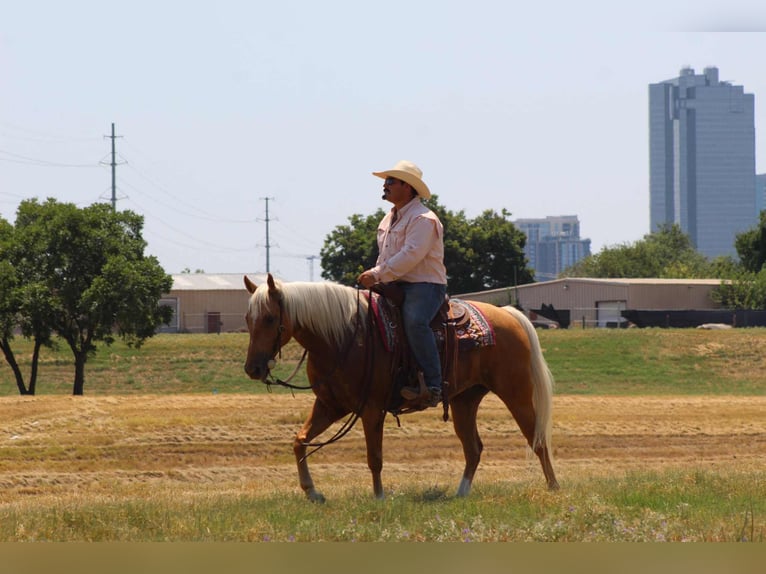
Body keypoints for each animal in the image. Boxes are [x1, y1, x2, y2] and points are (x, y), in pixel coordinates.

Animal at [243, 273, 559, 501]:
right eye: (248, 319)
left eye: (270, 318)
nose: (252, 369)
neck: (343, 338)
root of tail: (508, 314)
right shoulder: (330, 406)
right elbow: (300, 441)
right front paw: (312, 492)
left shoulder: (371, 408)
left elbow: (374, 457)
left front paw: (379, 497)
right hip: (464, 400)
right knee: (473, 448)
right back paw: (460, 494)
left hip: (516, 392)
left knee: (538, 440)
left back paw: (553, 487)